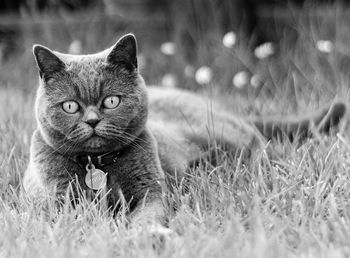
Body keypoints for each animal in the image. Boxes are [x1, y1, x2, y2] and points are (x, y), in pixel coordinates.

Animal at [22, 33, 348, 228]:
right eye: (70, 106)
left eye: (111, 101)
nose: (91, 121)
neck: (97, 165)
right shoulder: (59, 202)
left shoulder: (151, 191)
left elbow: (147, 216)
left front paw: (142, 237)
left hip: (223, 135)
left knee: (261, 146)